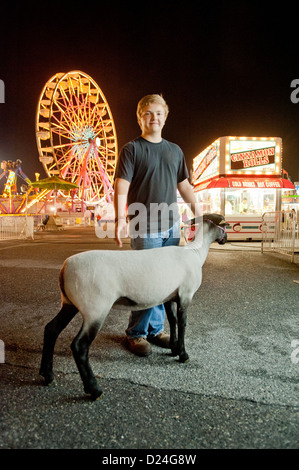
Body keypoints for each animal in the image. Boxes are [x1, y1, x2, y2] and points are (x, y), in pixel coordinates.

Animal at [39, 213, 227, 400]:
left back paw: (47, 375)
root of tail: (65, 268)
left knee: (51, 329)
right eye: (225, 224)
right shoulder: (186, 296)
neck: (195, 253)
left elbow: (172, 320)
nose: (225, 239)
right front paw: (183, 355)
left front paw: (173, 349)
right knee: (79, 346)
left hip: (69, 303)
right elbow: (182, 324)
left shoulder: (169, 297)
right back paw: (94, 389)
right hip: (95, 308)